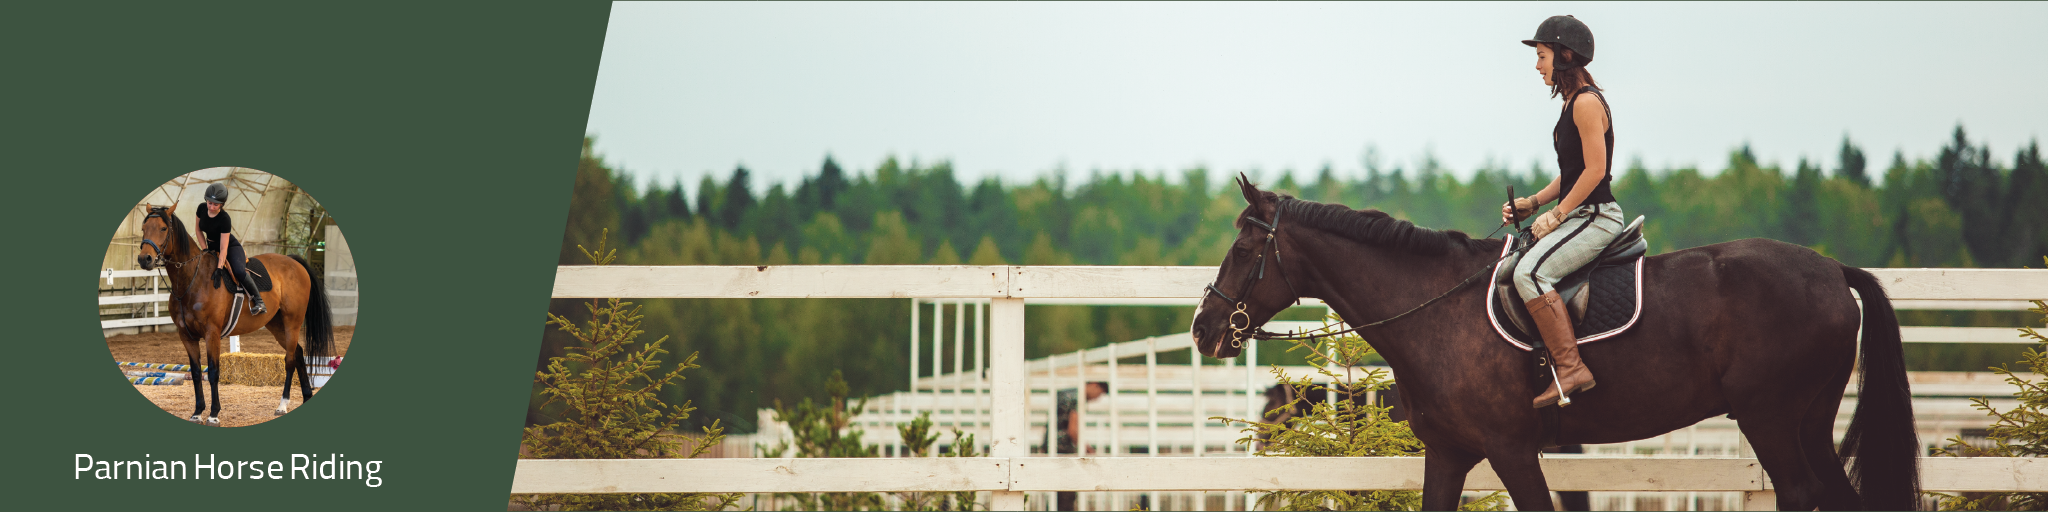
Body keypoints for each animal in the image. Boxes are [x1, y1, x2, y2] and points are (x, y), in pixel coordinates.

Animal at [134, 204, 334, 425]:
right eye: (144, 228)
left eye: (163, 228)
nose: (144, 259)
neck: (193, 279)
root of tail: (294, 262)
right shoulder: (186, 336)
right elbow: (196, 373)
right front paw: (197, 412)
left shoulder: (212, 334)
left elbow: (213, 372)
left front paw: (213, 414)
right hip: (276, 325)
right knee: (298, 353)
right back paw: (306, 396)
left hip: (292, 322)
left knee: (290, 359)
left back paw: (282, 404)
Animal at [1191, 177, 1918, 511]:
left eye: (1246, 249)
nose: (1203, 327)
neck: (1436, 312)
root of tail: (1832, 271)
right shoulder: (1450, 453)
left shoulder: (1512, 449)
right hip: (1809, 419)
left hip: (1769, 416)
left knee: (1799, 492)